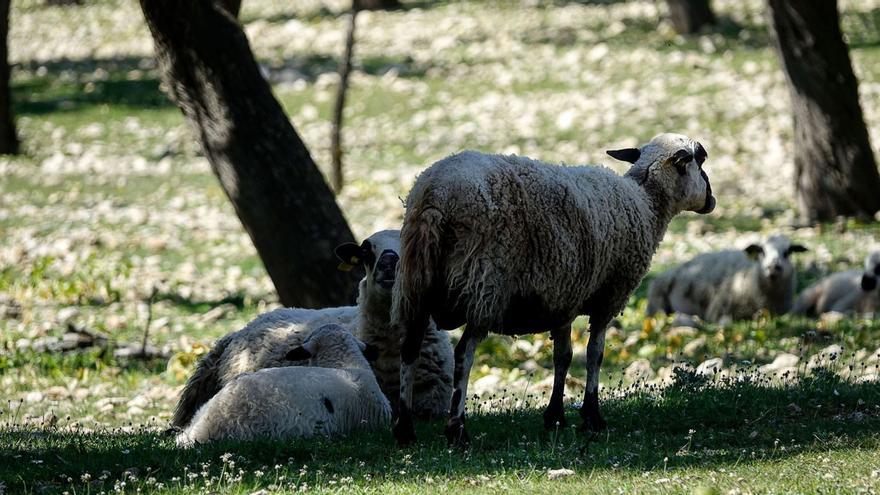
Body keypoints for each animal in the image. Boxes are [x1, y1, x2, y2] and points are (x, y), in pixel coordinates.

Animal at [392, 133, 716, 446]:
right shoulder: (608, 296)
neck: (646, 202)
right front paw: (592, 416)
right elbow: (594, 354)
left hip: (414, 284)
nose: (711, 200)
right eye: (700, 160)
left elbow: (563, 356)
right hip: (484, 286)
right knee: (463, 355)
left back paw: (405, 429)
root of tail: (435, 195)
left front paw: (556, 416)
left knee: (410, 349)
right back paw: (457, 429)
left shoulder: (563, 298)